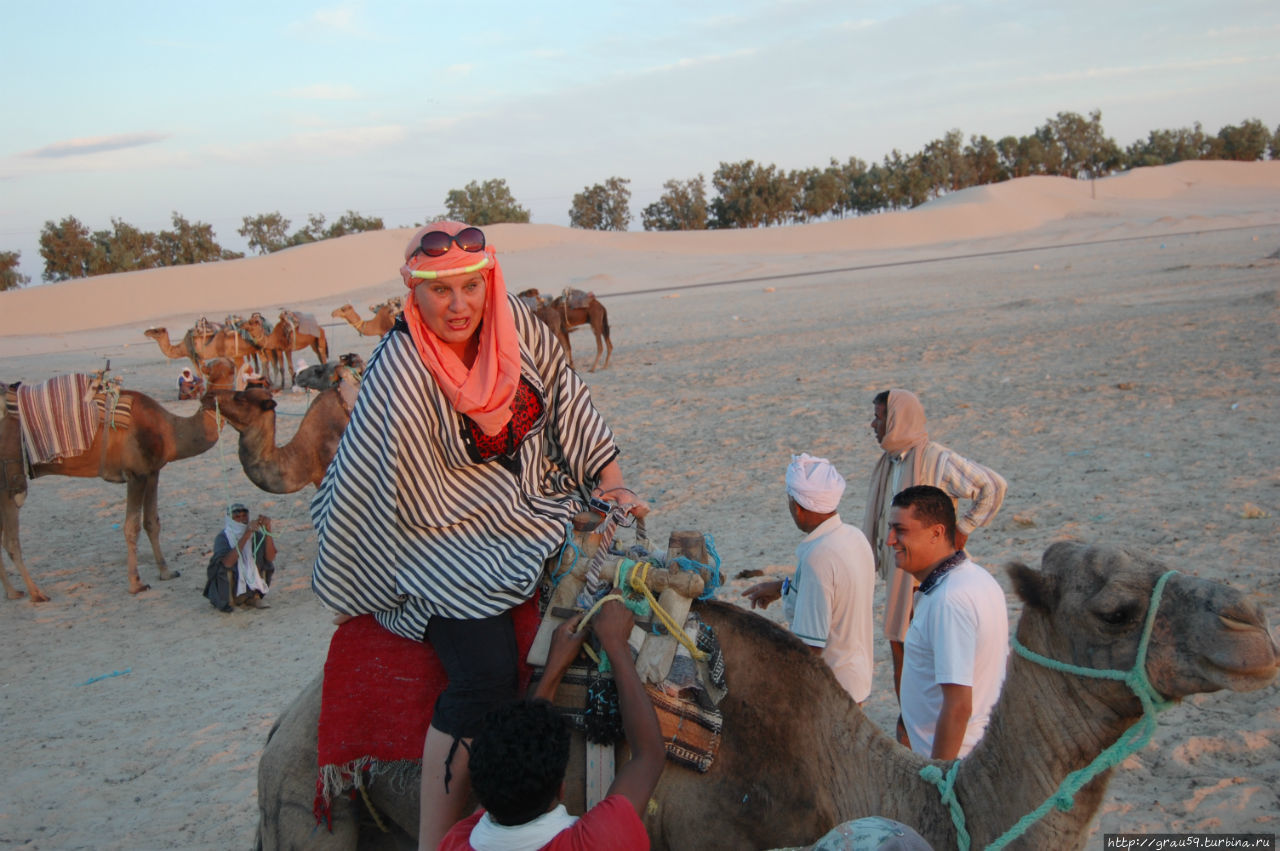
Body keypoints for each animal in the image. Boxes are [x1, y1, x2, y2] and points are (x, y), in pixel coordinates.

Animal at [0, 383, 225, 596]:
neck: (168, 430)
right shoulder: (136, 474)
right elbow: (132, 527)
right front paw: (136, 583)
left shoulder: (152, 472)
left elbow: (152, 523)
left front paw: (166, 572)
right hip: (9, 483)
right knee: (10, 539)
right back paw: (36, 593)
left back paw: (13, 592)